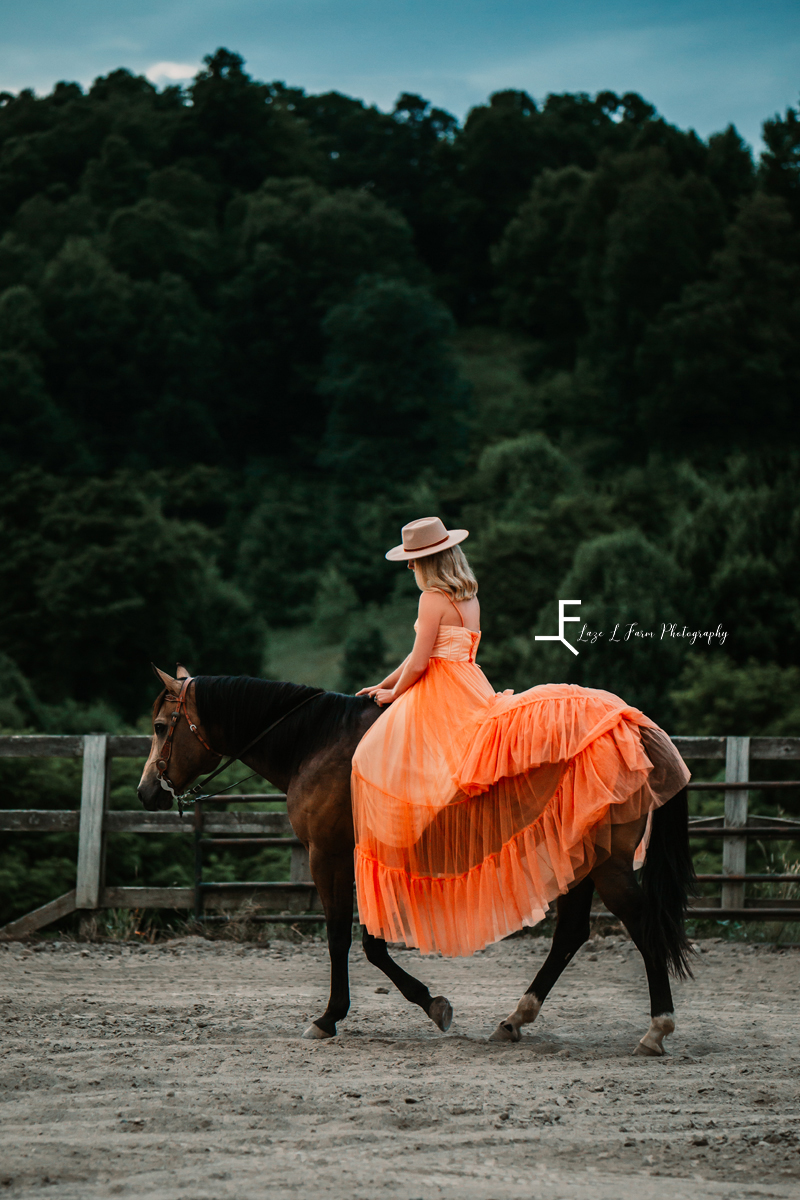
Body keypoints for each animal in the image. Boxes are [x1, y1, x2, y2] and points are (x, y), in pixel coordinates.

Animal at [139, 667, 695, 1051]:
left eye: (163, 726)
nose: (147, 791)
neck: (319, 740)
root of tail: (632, 723)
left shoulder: (329, 855)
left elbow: (345, 939)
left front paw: (332, 1016)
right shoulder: (363, 859)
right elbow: (371, 942)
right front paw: (430, 1004)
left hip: (607, 864)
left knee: (642, 926)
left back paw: (657, 1029)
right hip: (581, 853)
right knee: (571, 935)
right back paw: (515, 1019)